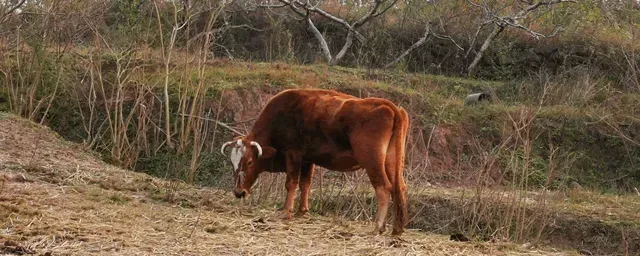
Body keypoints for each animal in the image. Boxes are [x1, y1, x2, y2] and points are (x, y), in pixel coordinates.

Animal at [220, 88, 410, 236]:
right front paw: (302, 211)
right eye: (232, 163)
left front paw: (286, 212)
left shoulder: (293, 155)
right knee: (399, 187)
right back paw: (397, 229)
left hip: (372, 162)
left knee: (383, 188)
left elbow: (291, 183)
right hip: (392, 162)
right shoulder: (307, 160)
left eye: (249, 162)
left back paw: (378, 227)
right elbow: (305, 184)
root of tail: (391, 107)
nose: (239, 192)